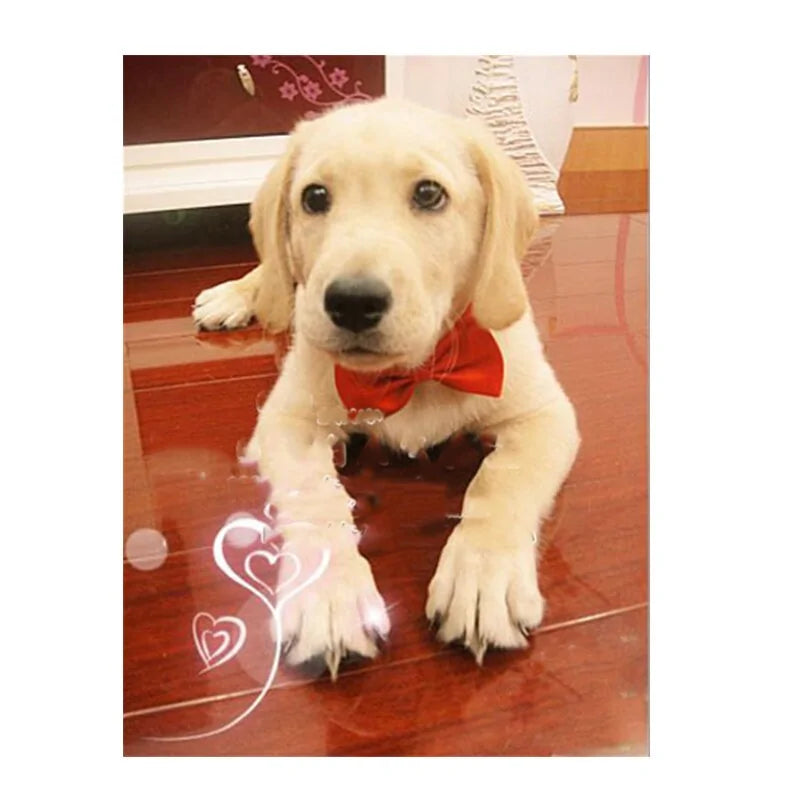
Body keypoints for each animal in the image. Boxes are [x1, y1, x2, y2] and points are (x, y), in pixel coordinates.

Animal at [194, 98, 580, 676]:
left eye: (429, 193)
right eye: (314, 197)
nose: (352, 302)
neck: (414, 372)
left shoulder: (546, 414)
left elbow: (501, 482)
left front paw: (484, 577)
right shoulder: (286, 420)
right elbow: (315, 496)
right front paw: (328, 597)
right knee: (274, 277)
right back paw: (236, 296)